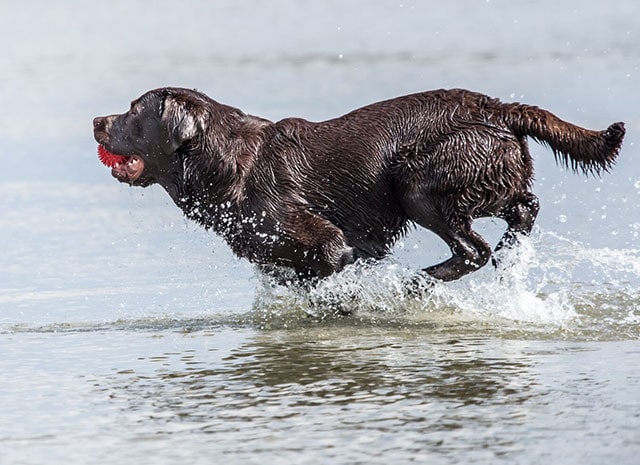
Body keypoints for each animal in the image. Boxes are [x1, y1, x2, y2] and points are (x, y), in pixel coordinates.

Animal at [92, 87, 624, 282]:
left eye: (134, 111)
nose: (97, 120)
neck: (224, 164)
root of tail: (495, 106)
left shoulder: (326, 241)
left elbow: (328, 266)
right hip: (486, 174)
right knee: (523, 207)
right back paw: (511, 252)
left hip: (417, 183)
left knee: (474, 248)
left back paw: (419, 282)